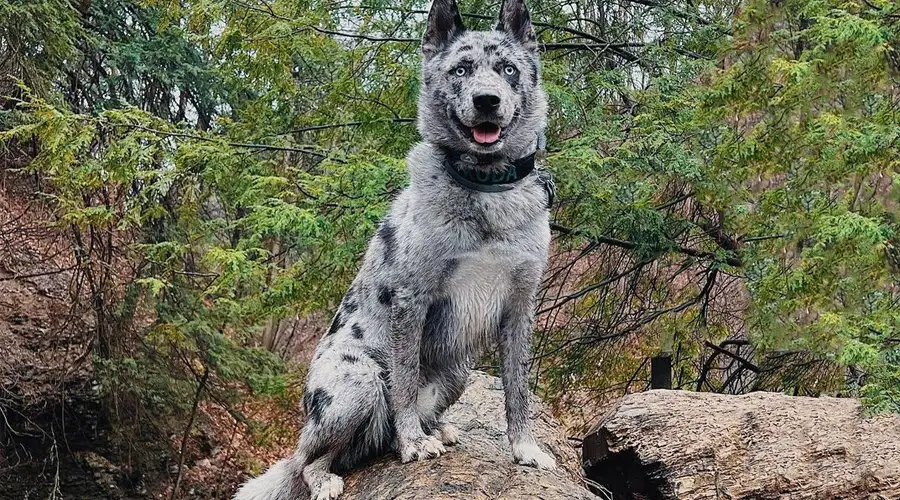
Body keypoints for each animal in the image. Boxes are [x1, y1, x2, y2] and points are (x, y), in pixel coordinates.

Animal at [234, 1, 556, 498]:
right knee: (308, 460)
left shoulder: (520, 309)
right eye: (461, 69)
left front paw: (525, 449)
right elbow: (403, 379)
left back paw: (435, 429)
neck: (485, 187)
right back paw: (333, 475)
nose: (487, 101)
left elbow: (517, 389)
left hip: (458, 372)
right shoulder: (412, 300)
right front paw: (413, 444)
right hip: (359, 381)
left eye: (508, 69)